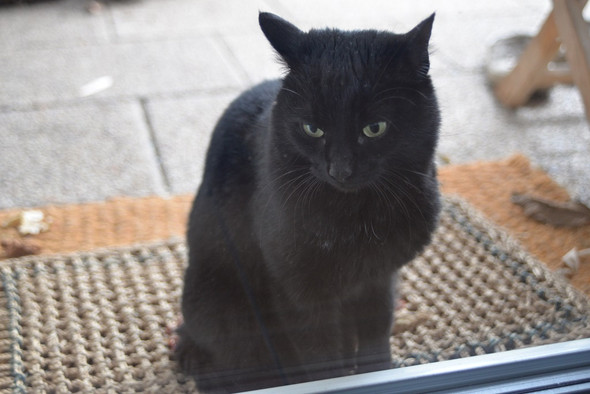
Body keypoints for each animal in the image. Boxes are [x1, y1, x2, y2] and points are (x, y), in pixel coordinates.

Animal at [178, 10, 442, 392]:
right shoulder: (300, 293)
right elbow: (320, 356)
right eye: (312, 129)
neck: (355, 219)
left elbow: (376, 336)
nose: (340, 170)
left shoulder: (380, 278)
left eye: (375, 128)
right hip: (219, 303)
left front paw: (378, 372)